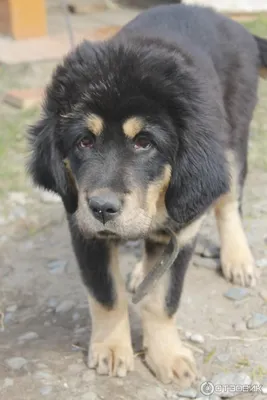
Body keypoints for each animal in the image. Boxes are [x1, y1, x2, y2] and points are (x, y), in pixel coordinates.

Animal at [27, 4, 267, 390]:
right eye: (84, 141)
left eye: (144, 142)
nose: (102, 208)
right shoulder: (83, 228)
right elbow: (106, 295)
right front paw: (111, 349)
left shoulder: (184, 227)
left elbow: (162, 301)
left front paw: (167, 356)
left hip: (233, 139)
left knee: (229, 201)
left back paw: (238, 259)